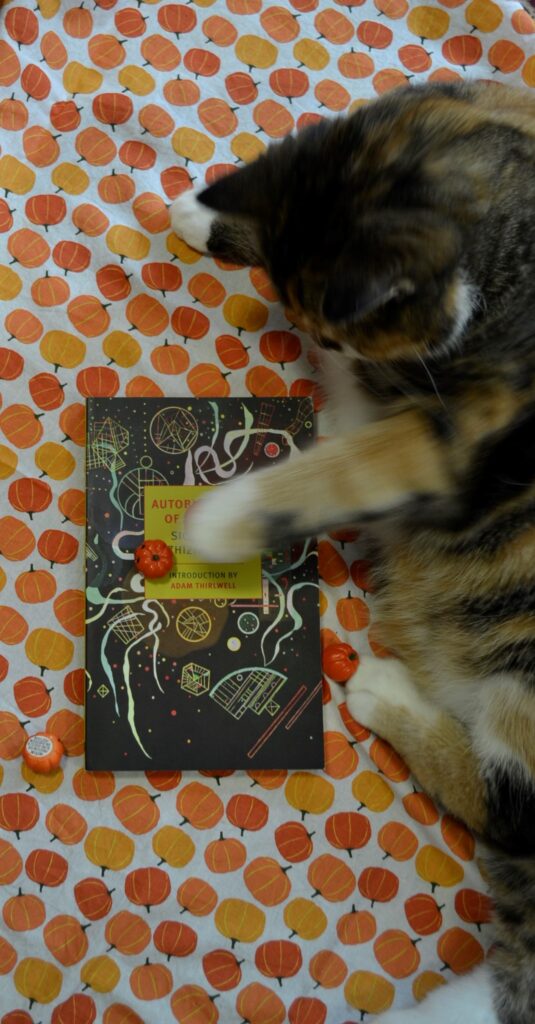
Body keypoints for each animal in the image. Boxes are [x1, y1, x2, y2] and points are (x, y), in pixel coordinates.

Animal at [171, 81, 532, 1024]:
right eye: (313, 326)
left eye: (343, 333)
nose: (332, 351)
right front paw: (198, 209)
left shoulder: (458, 433)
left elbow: (357, 463)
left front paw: (220, 520)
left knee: (507, 807)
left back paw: (384, 691)